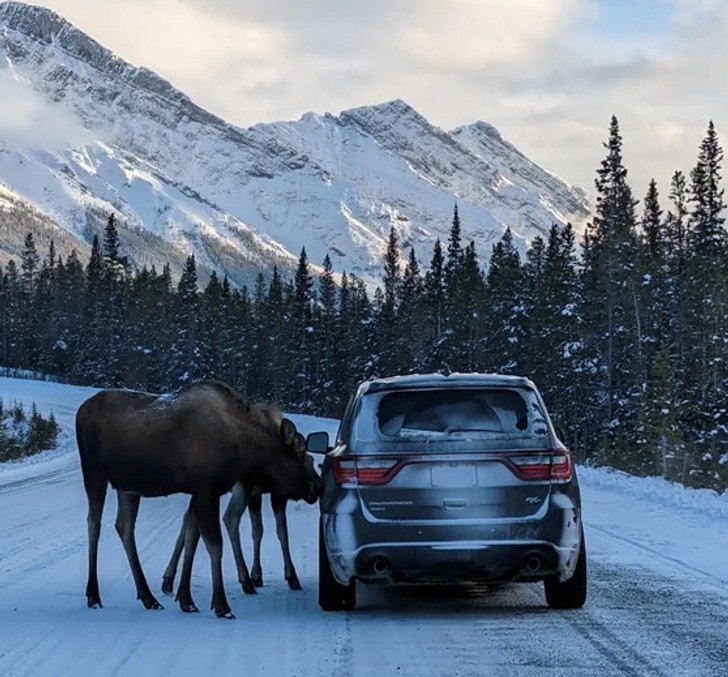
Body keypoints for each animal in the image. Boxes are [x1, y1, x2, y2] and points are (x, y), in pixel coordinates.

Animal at [76, 380, 322, 616]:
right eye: (304, 456)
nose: (317, 486)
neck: (245, 445)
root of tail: (81, 410)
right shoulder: (207, 490)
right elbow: (215, 545)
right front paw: (222, 605)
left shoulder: (202, 492)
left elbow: (193, 540)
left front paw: (186, 599)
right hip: (94, 472)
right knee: (94, 523)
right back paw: (94, 594)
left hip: (128, 487)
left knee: (124, 526)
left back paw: (148, 597)